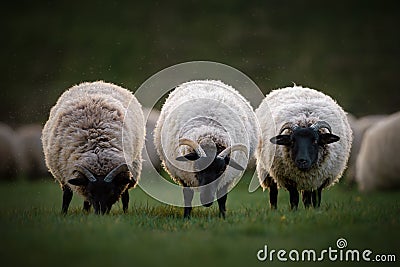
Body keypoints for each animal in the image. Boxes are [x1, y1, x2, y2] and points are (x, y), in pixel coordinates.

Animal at [41, 80, 145, 215]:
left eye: (111, 192)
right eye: (91, 192)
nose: (101, 213)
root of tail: (99, 82)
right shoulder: (64, 175)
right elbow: (67, 196)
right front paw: (64, 213)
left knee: (125, 194)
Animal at [153, 80, 260, 219]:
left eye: (221, 170)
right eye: (198, 167)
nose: (207, 201)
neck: (209, 137)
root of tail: (208, 80)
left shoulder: (226, 177)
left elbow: (222, 198)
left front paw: (223, 217)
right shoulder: (184, 175)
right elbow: (188, 196)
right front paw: (186, 217)